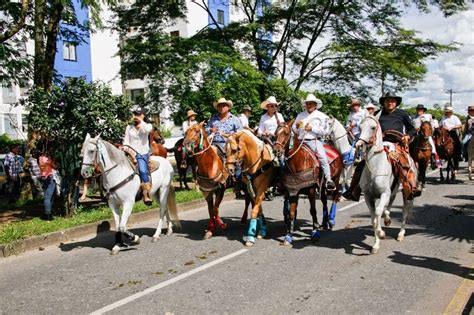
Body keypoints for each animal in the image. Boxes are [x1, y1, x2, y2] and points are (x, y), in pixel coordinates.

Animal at [358, 117, 412, 256]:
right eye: (360, 127)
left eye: (372, 127)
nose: (359, 145)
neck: (375, 167)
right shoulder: (368, 196)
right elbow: (373, 218)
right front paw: (375, 245)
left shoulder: (384, 193)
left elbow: (377, 212)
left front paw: (381, 233)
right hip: (392, 192)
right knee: (388, 207)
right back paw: (387, 220)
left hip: (406, 193)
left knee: (405, 212)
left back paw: (401, 234)